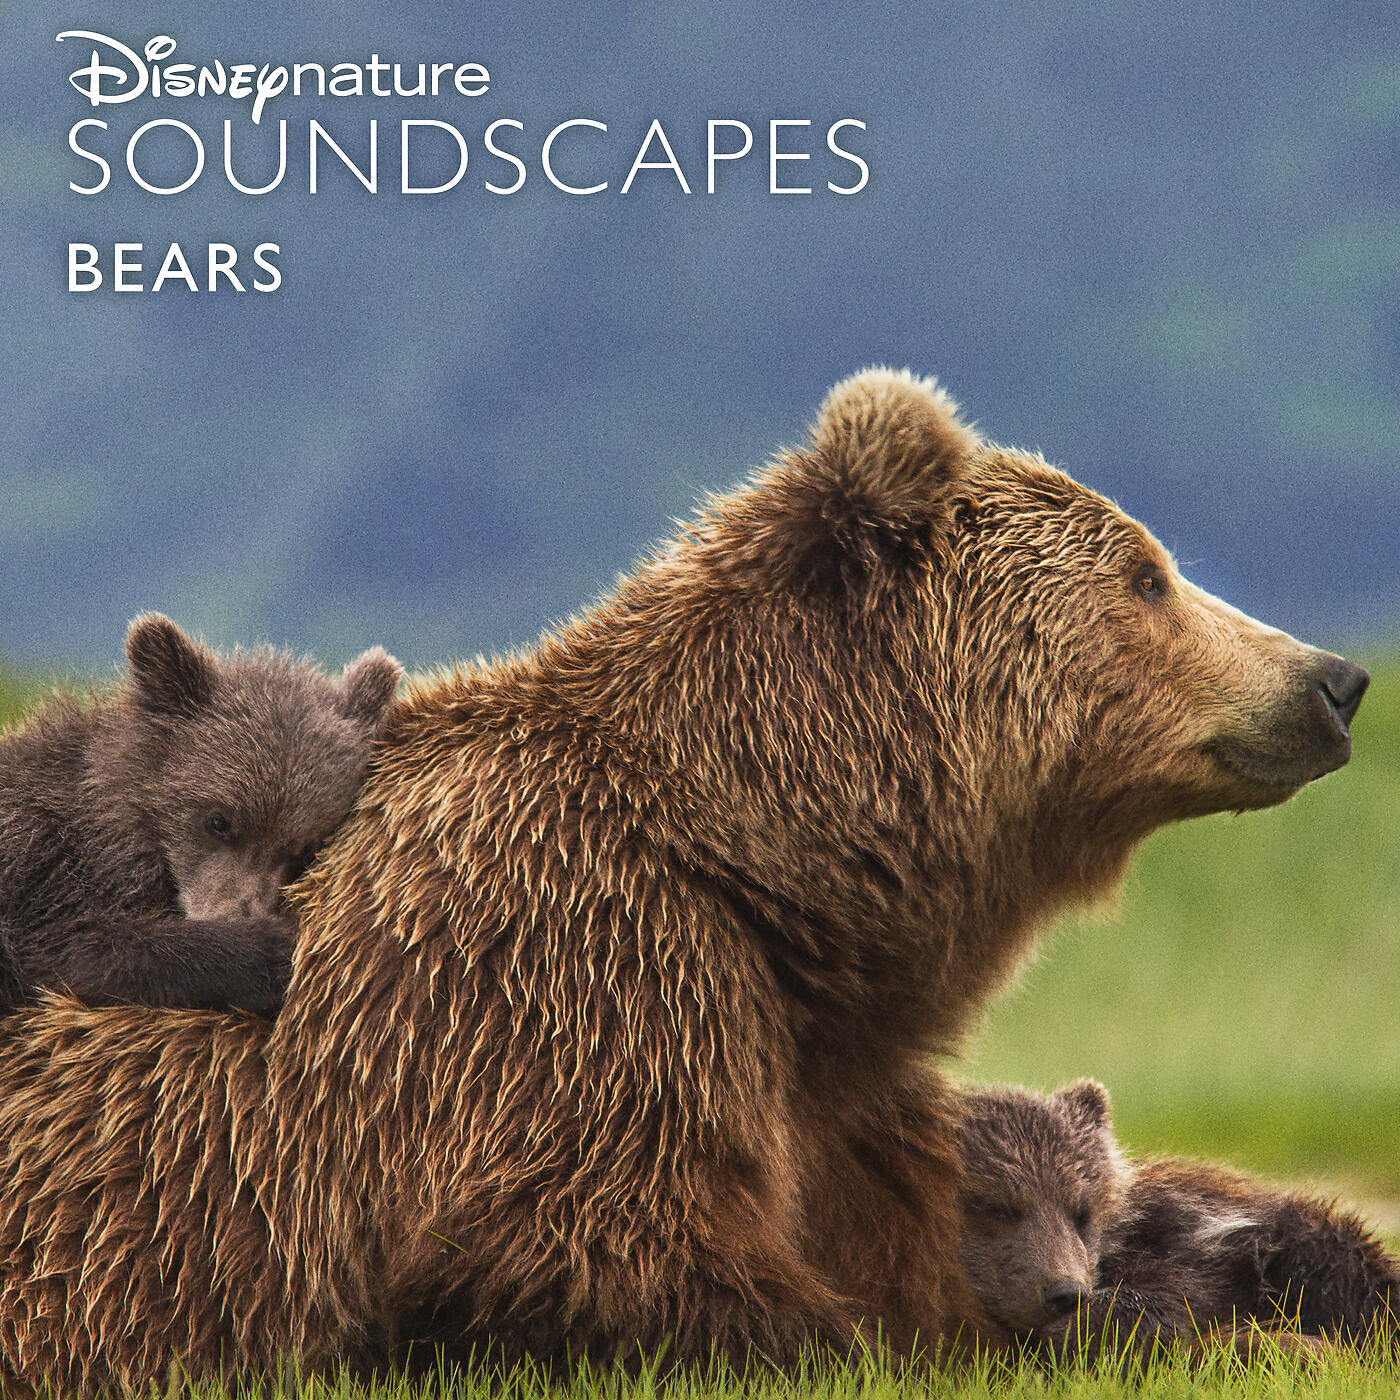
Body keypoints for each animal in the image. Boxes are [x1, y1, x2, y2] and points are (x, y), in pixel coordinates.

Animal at [0, 613, 401, 1017]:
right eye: (218, 821)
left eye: (303, 848)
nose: (234, 915)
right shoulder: (43, 871)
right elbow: (79, 949)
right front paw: (272, 947)